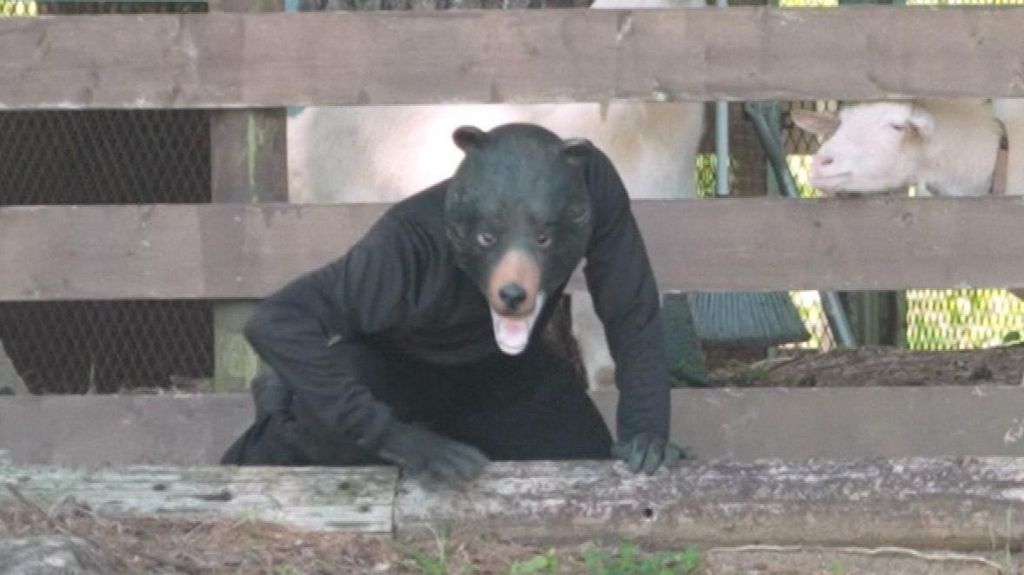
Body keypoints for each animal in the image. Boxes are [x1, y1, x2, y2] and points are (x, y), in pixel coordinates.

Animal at [221, 123, 685, 483]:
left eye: (544, 236)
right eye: (486, 236)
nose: (512, 294)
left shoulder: (607, 198)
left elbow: (629, 306)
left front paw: (648, 440)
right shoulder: (396, 263)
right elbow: (284, 315)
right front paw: (426, 449)